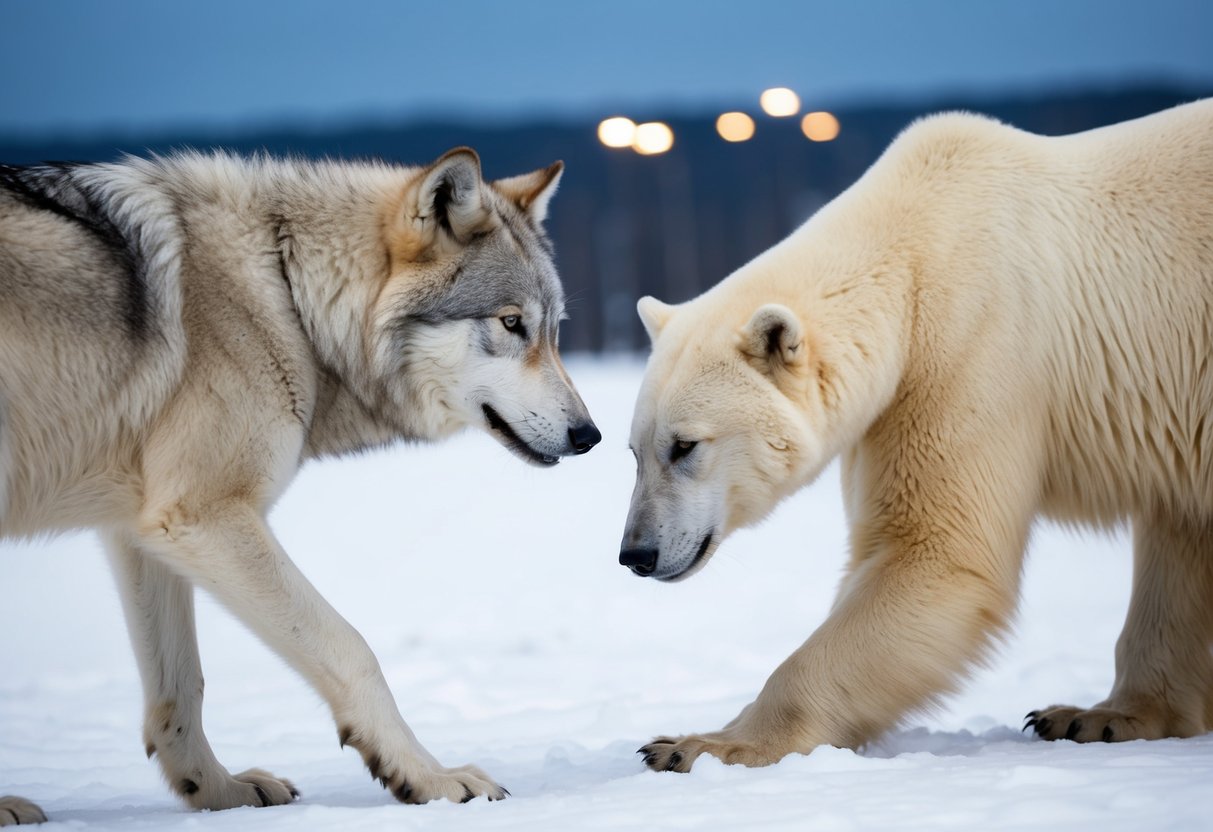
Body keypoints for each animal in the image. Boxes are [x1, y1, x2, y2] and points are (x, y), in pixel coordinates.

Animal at [0, 147, 599, 820]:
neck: (284, 293)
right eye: (512, 323)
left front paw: (216, 792)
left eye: (554, 330)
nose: (590, 435)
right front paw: (430, 777)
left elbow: (181, 688)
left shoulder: (139, 529)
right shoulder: (204, 516)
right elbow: (352, 648)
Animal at [619, 98, 1213, 772]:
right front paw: (1104, 716)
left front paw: (694, 746)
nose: (636, 553)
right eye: (634, 451)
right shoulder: (894, 406)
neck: (914, 244)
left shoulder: (972, 350)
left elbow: (937, 553)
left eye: (685, 446)